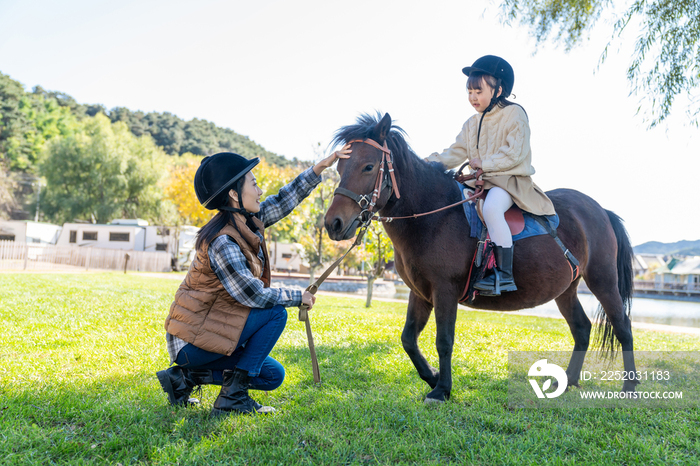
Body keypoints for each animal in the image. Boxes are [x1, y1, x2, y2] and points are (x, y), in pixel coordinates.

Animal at [326, 112, 636, 400]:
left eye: (368, 166)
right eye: (339, 165)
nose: (333, 224)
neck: (433, 216)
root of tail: (601, 210)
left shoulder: (444, 290)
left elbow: (444, 340)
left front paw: (442, 390)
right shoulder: (420, 292)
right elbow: (408, 339)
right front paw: (432, 377)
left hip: (602, 281)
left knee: (623, 327)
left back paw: (629, 387)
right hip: (567, 289)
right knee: (582, 328)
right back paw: (568, 381)